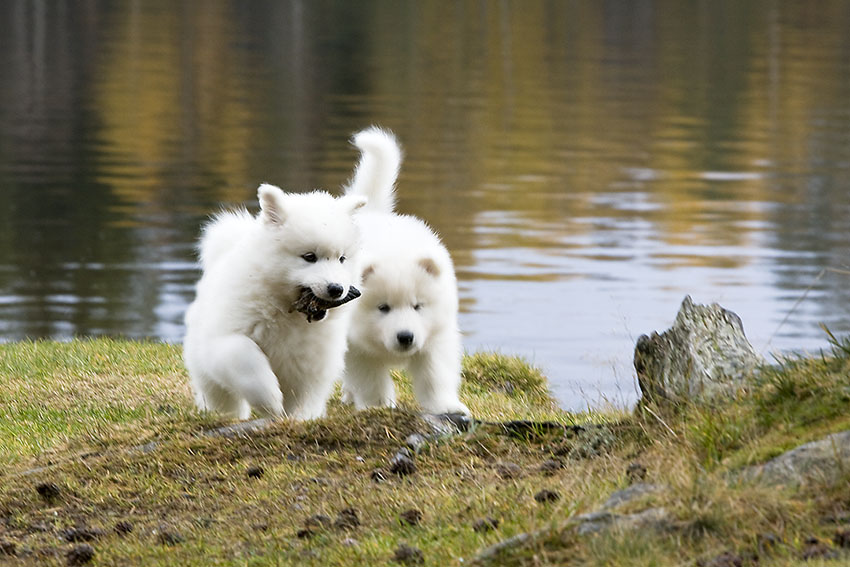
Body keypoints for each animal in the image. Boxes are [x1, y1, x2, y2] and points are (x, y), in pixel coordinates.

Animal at [342, 127, 468, 418]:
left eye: (418, 306)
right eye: (383, 308)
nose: (405, 337)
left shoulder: (436, 336)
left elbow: (435, 376)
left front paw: (447, 406)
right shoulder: (356, 346)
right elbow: (370, 379)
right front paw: (378, 407)